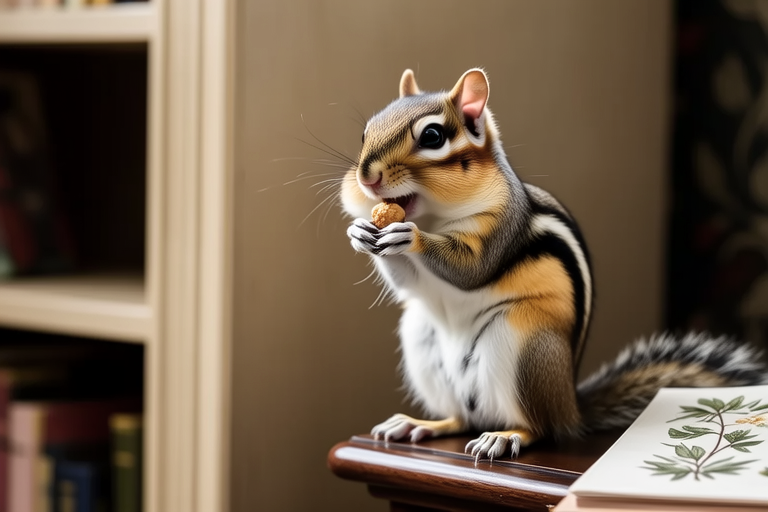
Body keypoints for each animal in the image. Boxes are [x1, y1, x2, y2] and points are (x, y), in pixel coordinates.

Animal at [340, 68, 768, 462]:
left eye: (432, 137)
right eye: (365, 132)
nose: (366, 177)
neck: (433, 216)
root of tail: (571, 407)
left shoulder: (503, 228)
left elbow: (471, 270)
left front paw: (408, 236)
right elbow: (409, 284)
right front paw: (359, 232)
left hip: (526, 345)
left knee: (539, 428)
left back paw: (504, 438)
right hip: (421, 339)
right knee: (462, 419)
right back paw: (418, 424)